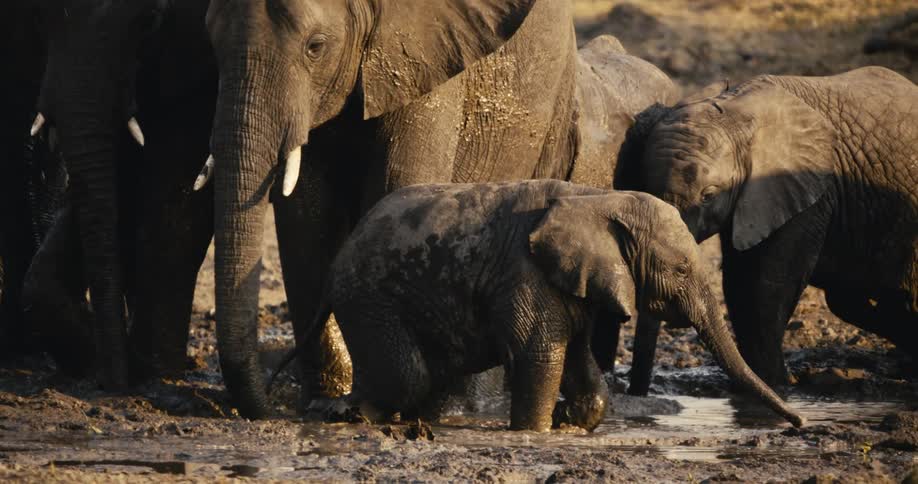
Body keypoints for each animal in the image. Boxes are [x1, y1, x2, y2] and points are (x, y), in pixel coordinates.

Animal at [21, 0, 217, 385]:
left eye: (149, 22)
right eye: (37, 15)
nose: (112, 383)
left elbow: (173, 188)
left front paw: (153, 371)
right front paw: (96, 357)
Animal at [198, 0, 678, 419]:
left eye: (315, 46)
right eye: (212, 43)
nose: (262, 410)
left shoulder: (427, 63)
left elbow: (400, 184)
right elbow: (305, 217)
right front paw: (323, 403)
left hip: (552, 112)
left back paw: (461, 408)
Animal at [294, 179, 803, 432]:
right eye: (680, 270)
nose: (798, 422)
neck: (599, 198)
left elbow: (577, 355)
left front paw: (571, 422)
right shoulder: (527, 271)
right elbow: (541, 355)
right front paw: (535, 432)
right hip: (369, 297)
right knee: (408, 374)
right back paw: (349, 414)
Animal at [615, 66, 918, 387]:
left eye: (708, 196)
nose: (636, 392)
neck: (735, 110)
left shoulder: (806, 190)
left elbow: (771, 282)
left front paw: (779, 383)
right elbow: (737, 279)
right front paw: (759, 383)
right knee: (852, 300)